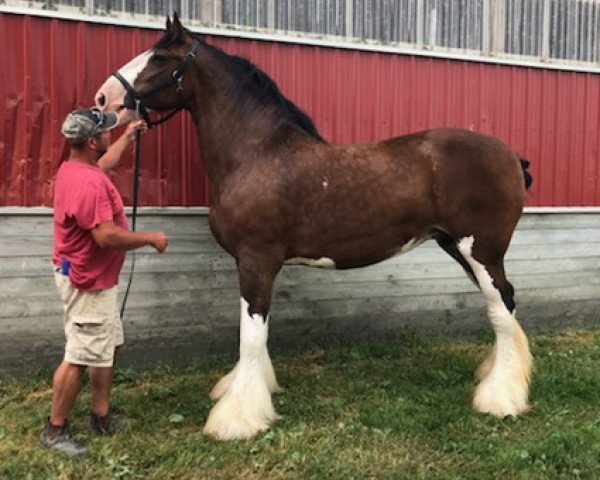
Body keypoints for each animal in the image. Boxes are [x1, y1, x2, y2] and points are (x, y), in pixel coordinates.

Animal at [95, 13, 536, 440]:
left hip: (480, 249)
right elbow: (255, 330)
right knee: (505, 304)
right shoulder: (252, 263)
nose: (103, 99)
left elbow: (251, 333)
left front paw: (237, 418)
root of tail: (511, 156)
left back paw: (500, 398)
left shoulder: (257, 259)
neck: (258, 154)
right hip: (458, 247)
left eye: (159, 58)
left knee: (501, 307)